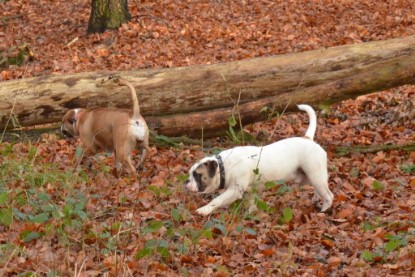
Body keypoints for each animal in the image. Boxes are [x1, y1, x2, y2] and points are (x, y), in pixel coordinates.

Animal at [185, 103, 334, 216]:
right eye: (190, 174)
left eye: (197, 175)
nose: (186, 182)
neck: (224, 166)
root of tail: (308, 139)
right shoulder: (249, 191)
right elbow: (251, 202)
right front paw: (251, 213)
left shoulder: (234, 191)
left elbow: (217, 200)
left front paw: (204, 210)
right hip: (308, 177)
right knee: (318, 188)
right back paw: (315, 200)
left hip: (315, 174)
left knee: (328, 195)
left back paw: (323, 210)